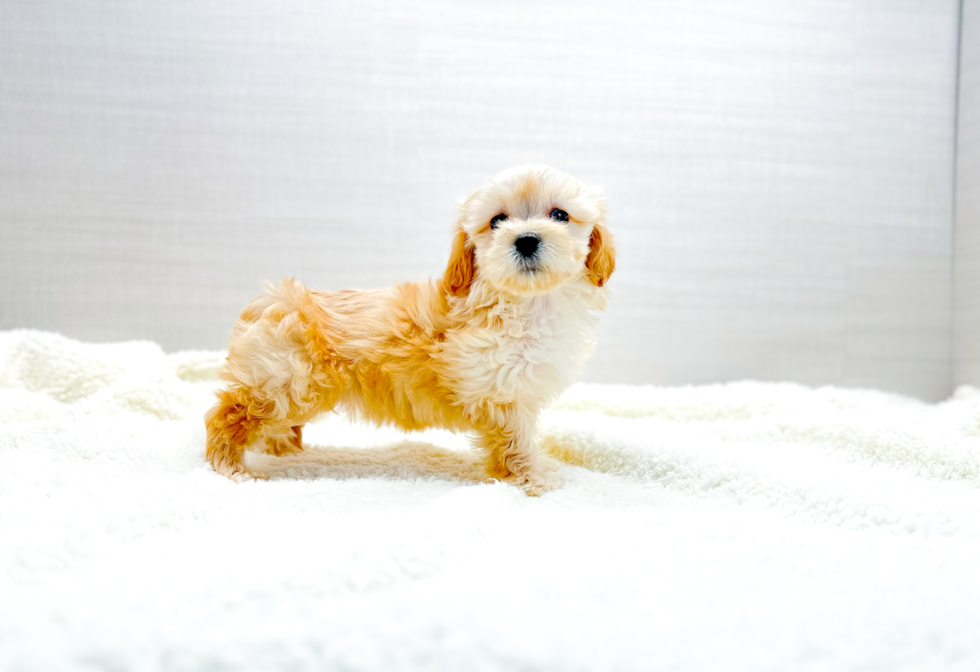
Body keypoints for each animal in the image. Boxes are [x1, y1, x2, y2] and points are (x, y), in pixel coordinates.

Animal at [206, 164, 612, 494]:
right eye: (497, 221)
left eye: (559, 215)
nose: (526, 239)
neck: (529, 303)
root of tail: (269, 300)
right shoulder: (499, 394)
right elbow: (516, 443)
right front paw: (534, 480)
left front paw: (538, 472)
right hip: (286, 383)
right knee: (229, 415)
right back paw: (229, 469)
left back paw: (283, 451)